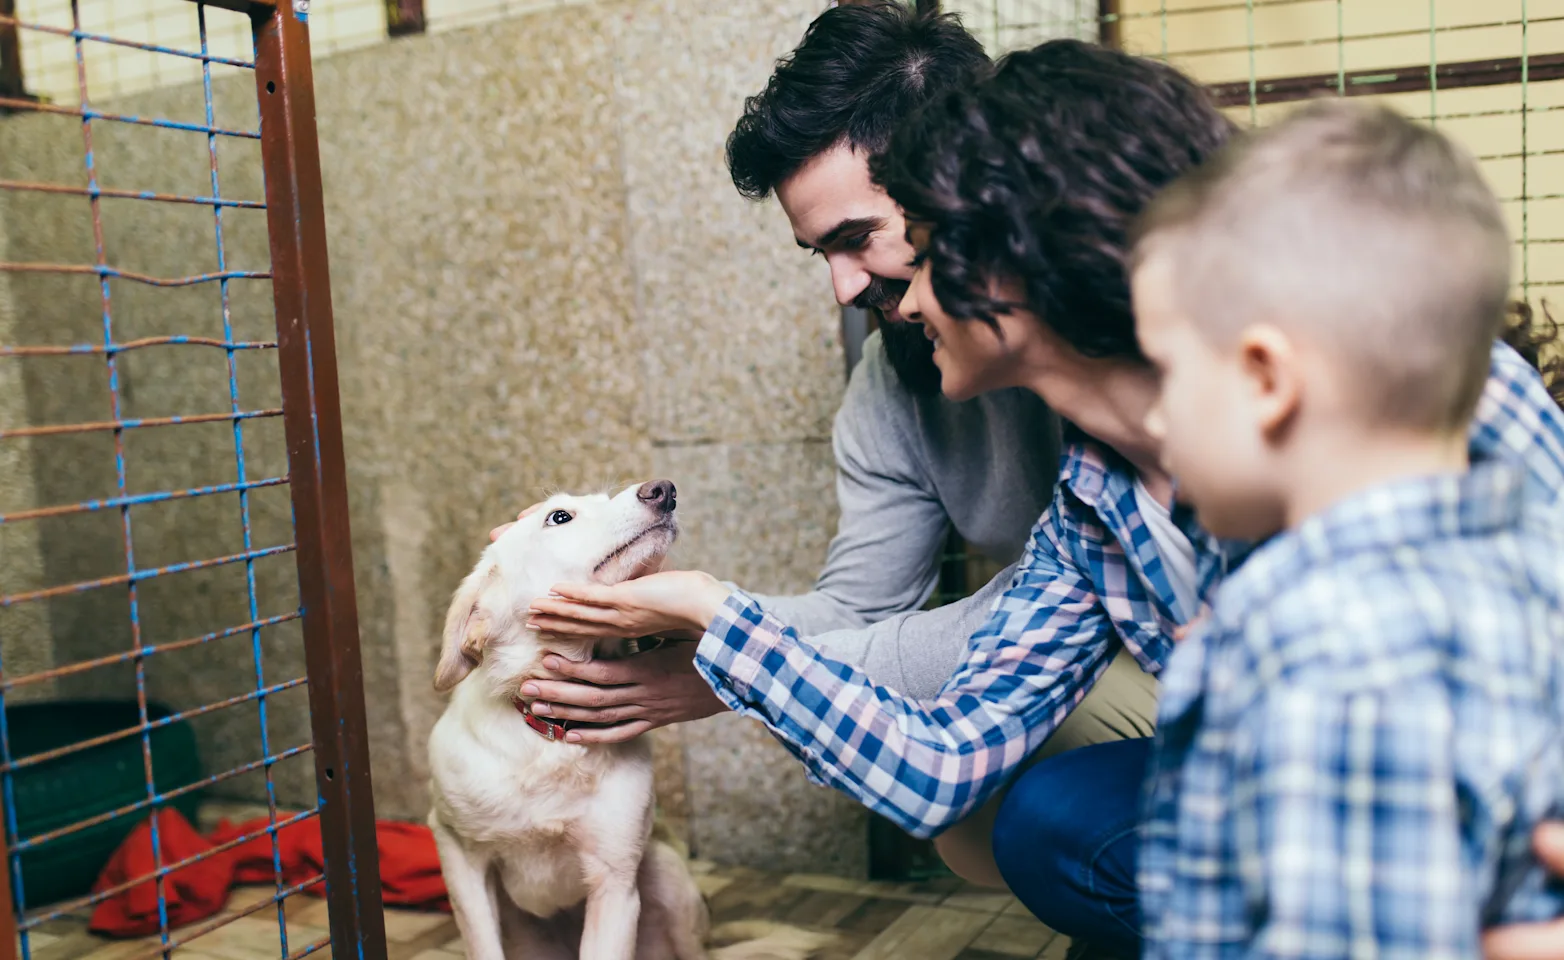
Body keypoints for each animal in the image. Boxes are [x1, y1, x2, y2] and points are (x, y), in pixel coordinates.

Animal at [422, 481, 825, 960]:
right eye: (559, 517)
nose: (664, 489)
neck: (552, 739)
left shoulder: (614, 884)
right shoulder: (457, 852)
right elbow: (482, 942)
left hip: (667, 876)